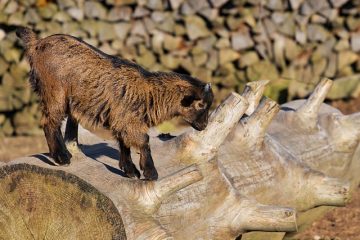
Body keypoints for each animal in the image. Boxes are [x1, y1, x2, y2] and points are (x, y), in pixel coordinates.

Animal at [16, 26, 214, 180]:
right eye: (201, 105)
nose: (204, 126)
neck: (149, 92)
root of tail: (36, 44)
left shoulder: (120, 119)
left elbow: (124, 143)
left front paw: (130, 170)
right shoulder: (129, 120)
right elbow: (143, 141)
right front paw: (150, 173)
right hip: (54, 92)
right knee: (49, 122)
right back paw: (62, 157)